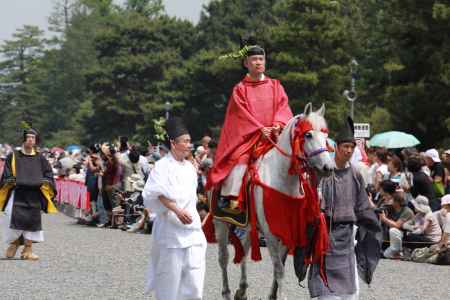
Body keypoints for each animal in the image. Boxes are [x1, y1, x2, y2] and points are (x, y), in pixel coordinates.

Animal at [213, 103, 336, 300]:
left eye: (325, 136)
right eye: (308, 134)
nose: (328, 167)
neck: (282, 181)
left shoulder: (288, 230)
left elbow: (281, 265)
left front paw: (273, 294)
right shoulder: (270, 232)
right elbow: (279, 269)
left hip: (250, 224)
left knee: (244, 250)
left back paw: (242, 289)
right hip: (220, 222)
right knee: (223, 257)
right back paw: (227, 292)